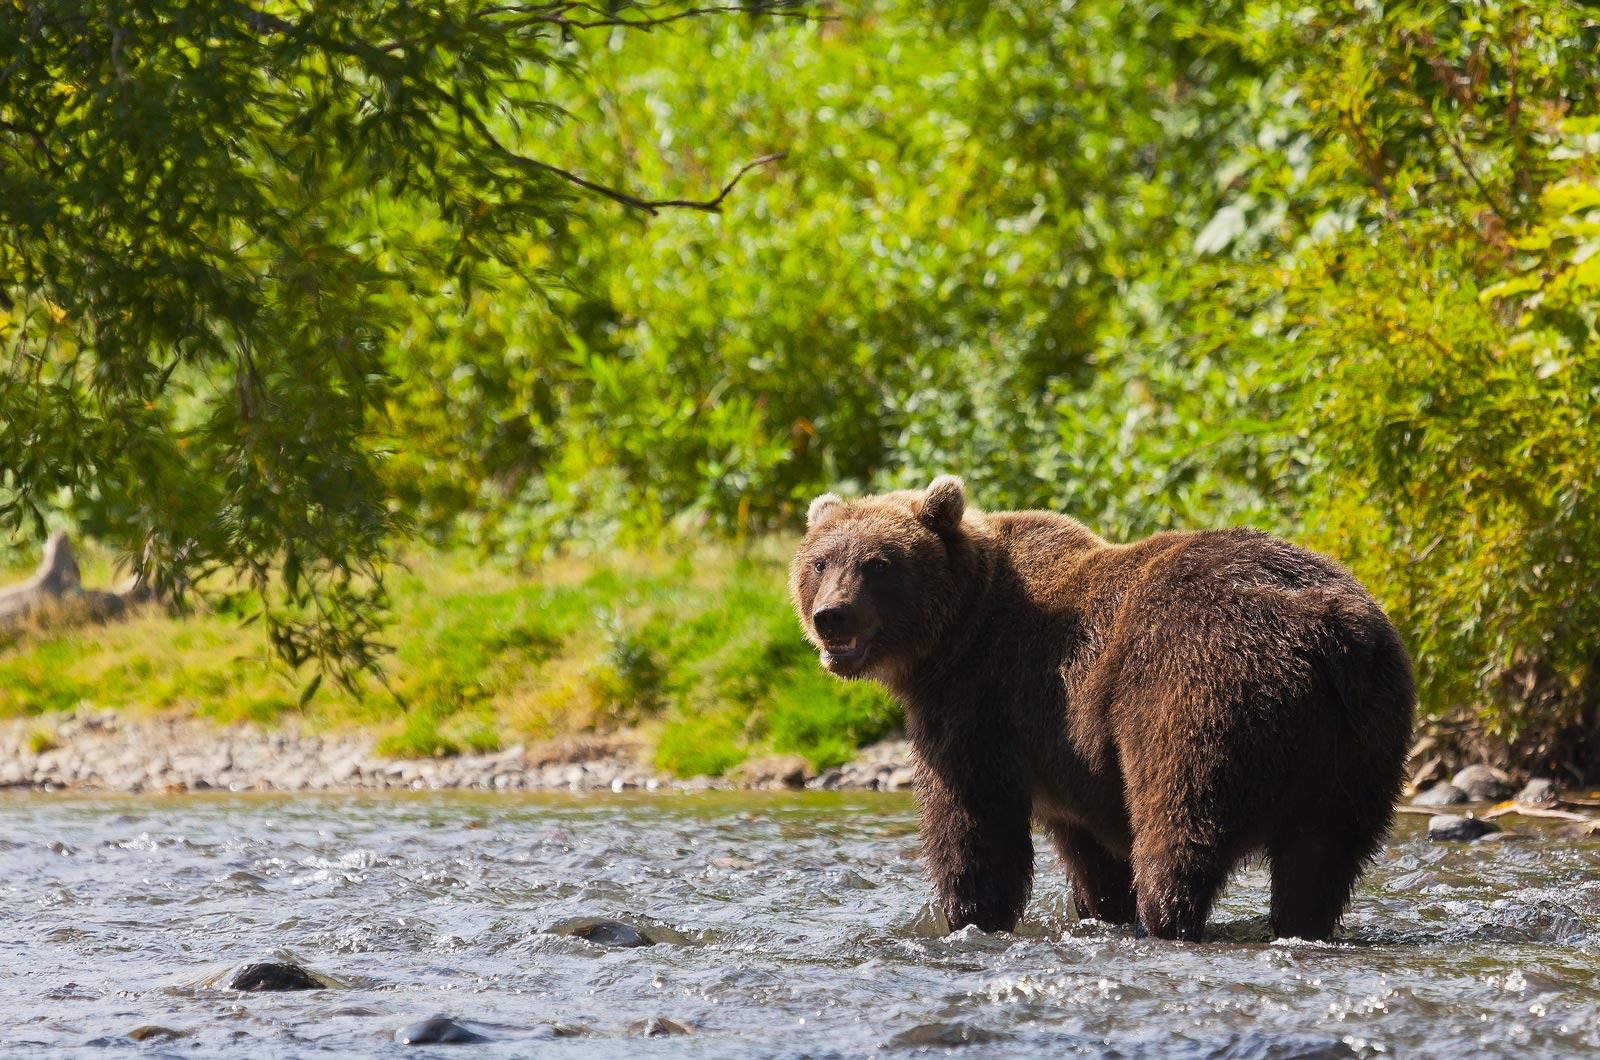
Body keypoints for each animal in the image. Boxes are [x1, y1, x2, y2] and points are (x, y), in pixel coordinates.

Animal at [787, 477, 1414, 941]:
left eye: (879, 563)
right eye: (821, 561)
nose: (831, 616)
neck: (954, 635)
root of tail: (1327, 624)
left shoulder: (982, 703)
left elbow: (973, 822)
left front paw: (969, 915)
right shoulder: (1066, 754)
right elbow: (1089, 850)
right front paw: (1099, 907)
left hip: (1201, 690)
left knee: (1179, 823)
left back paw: (1168, 918)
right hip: (1363, 735)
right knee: (1324, 855)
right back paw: (1299, 923)